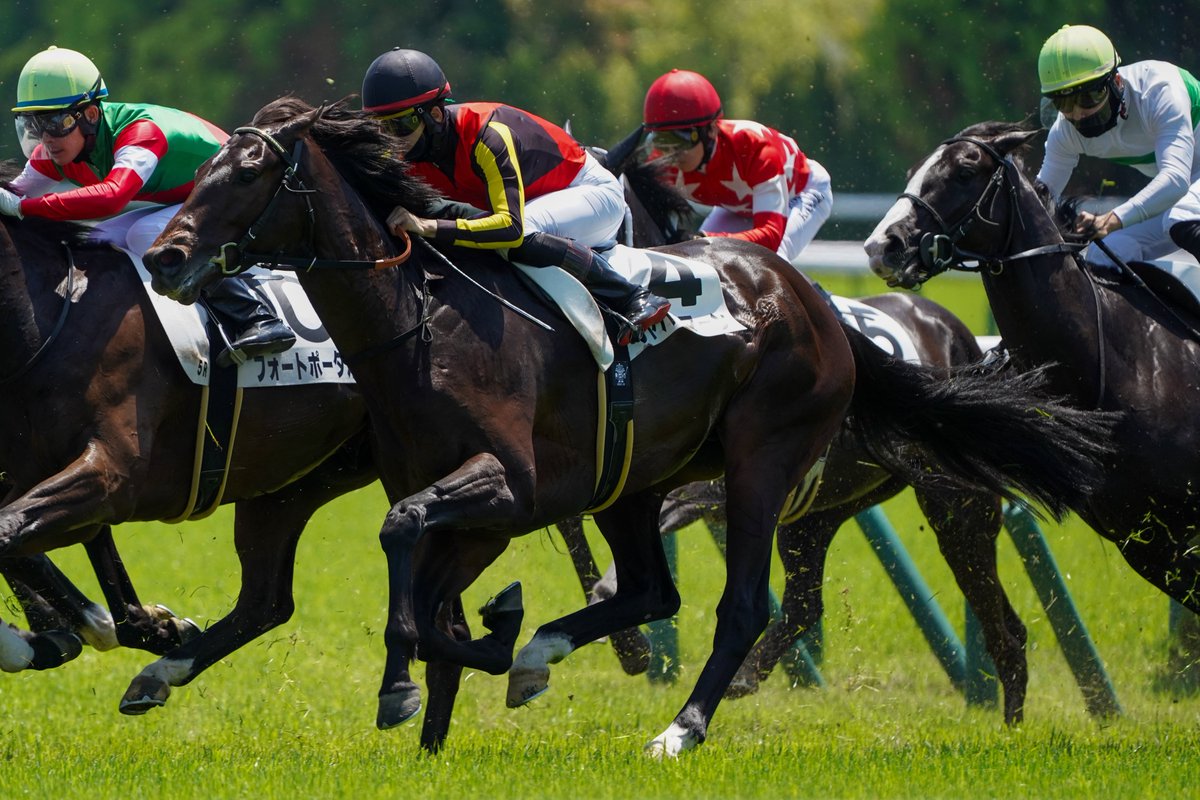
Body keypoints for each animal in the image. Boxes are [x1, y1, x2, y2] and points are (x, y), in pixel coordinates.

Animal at [0, 195, 374, 690]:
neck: (51, 318)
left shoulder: (111, 474)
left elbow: (10, 533)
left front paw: (50, 638)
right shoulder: (46, 472)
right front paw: (122, 629)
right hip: (295, 482)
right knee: (266, 601)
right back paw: (161, 672)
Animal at [145, 97, 1108, 753]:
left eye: (250, 173)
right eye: (205, 170)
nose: (165, 255)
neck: (417, 323)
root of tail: (815, 306)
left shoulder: (508, 487)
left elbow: (404, 541)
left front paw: (406, 684)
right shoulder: (475, 503)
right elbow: (429, 590)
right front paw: (462, 673)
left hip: (771, 465)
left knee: (744, 605)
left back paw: (680, 728)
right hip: (636, 484)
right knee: (655, 590)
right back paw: (541, 653)